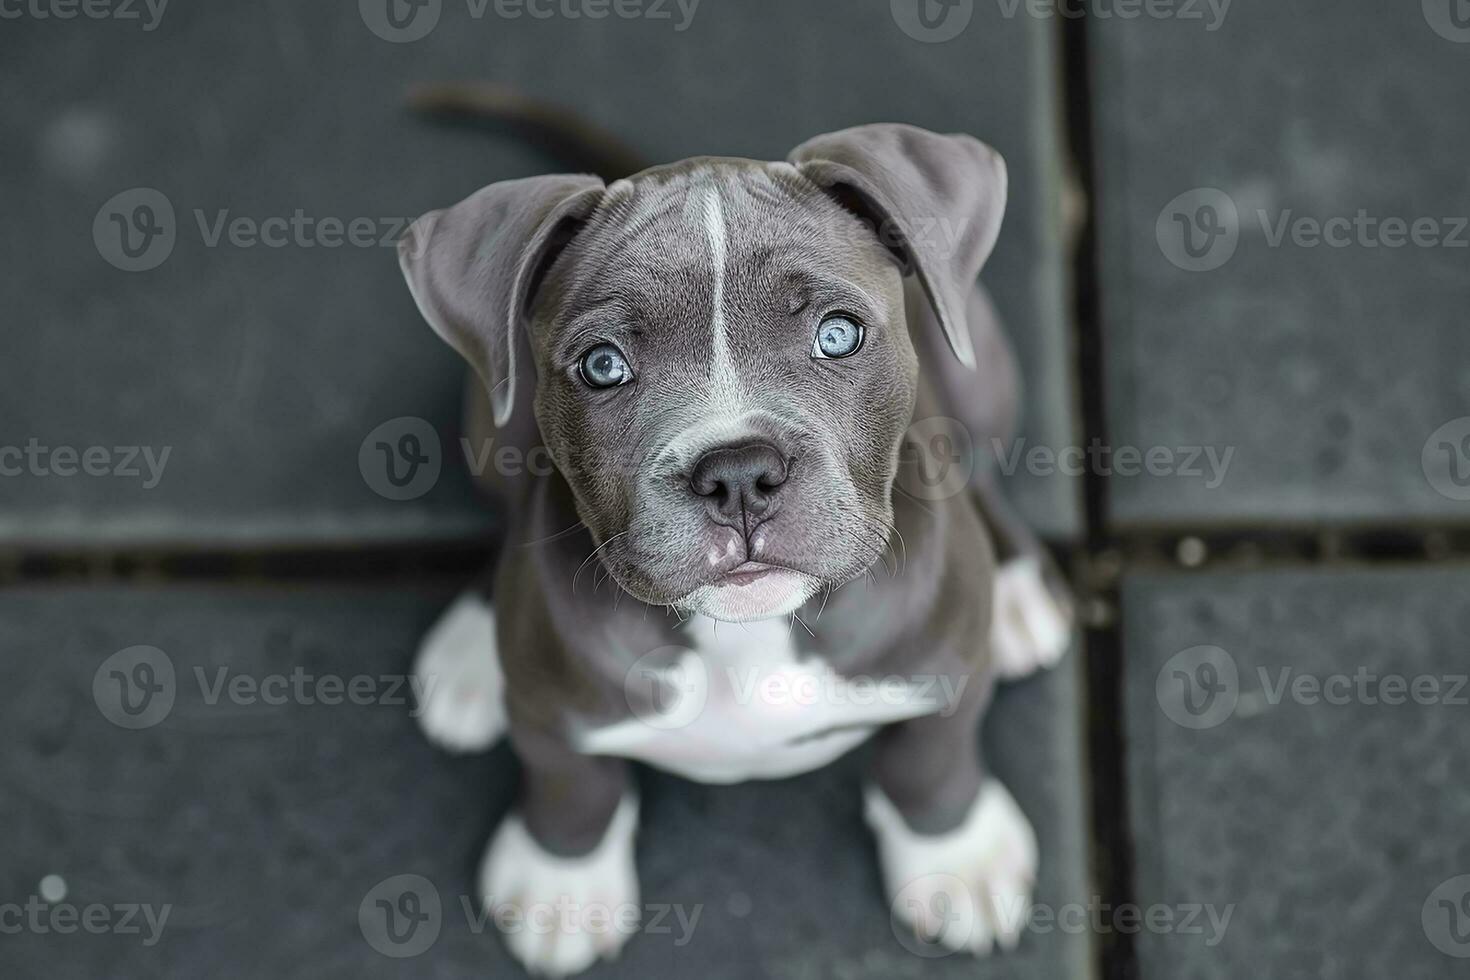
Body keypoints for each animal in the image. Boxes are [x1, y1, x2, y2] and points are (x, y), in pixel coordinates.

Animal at [396, 120, 1076, 975]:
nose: (740, 474)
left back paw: (1017, 590)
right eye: (603, 364)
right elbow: (571, 786)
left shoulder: (949, 672)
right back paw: (468, 650)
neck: (748, 635)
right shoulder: (549, 716)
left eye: (838, 334)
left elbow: (931, 758)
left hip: (979, 364)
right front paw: (564, 884)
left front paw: (956, 858)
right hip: (488, 422)